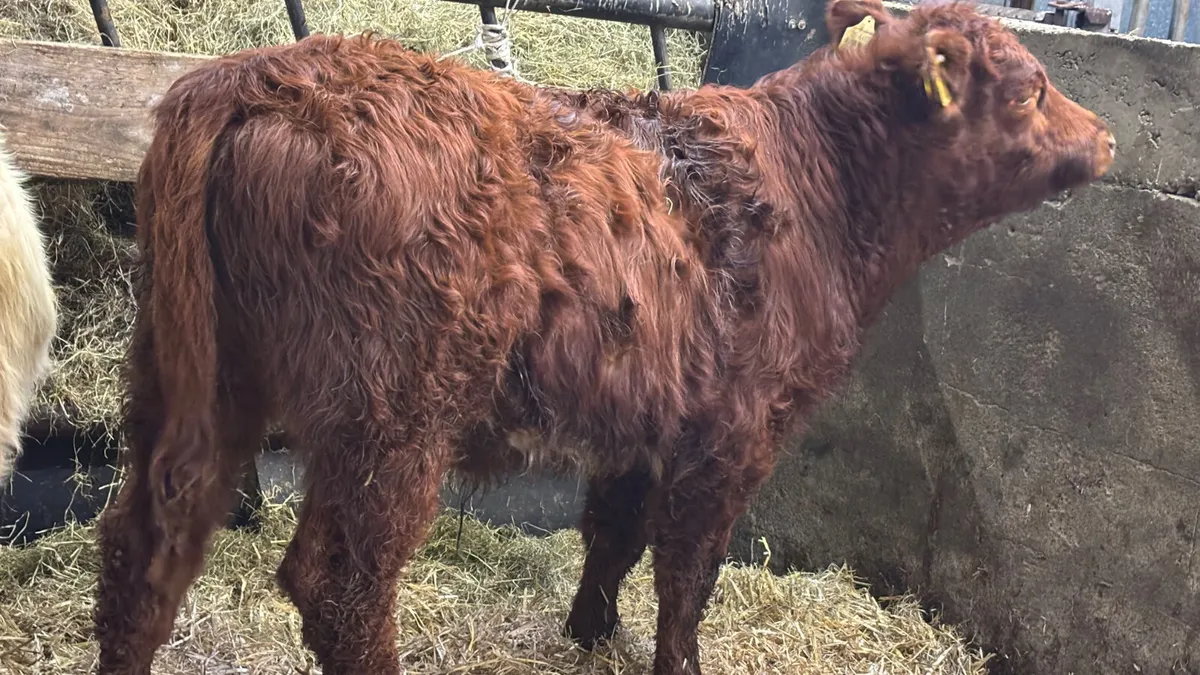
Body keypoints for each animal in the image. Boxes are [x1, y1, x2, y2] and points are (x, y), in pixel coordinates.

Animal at [92, 0, 1115, 673]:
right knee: (341, 584)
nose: (1107, 136)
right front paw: (675, 661)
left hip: (191, 378)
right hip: (390, 416)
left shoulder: (651, 411)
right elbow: (688, 568)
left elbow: (613, 531)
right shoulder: (737, 429)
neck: (821, 187)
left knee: (145, 546)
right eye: (1033, 88)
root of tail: (256, 75)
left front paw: (590, 632)